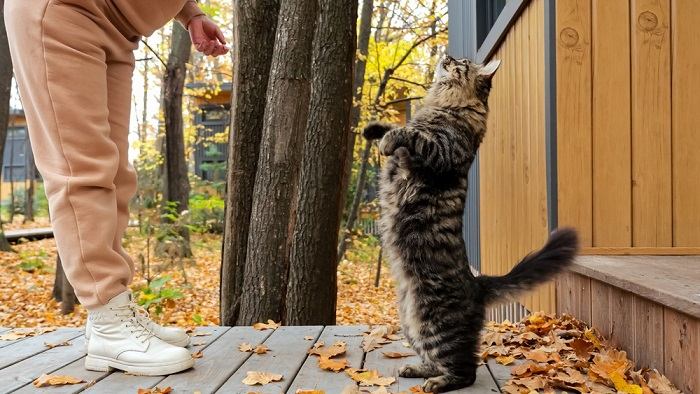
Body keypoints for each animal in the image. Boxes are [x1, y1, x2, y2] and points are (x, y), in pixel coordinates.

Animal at [364, 54, 576, 390]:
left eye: (461, 63)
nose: (447, 56)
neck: (445, 104)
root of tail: (478, 284)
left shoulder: (442, 150)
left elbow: (411, 135)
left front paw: (387, 140)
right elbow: (400, 127)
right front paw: (374, 129)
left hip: (434, 321)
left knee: (466, 370)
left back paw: (438, 383)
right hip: (411, 323)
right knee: (433, 358)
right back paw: (418, 370)